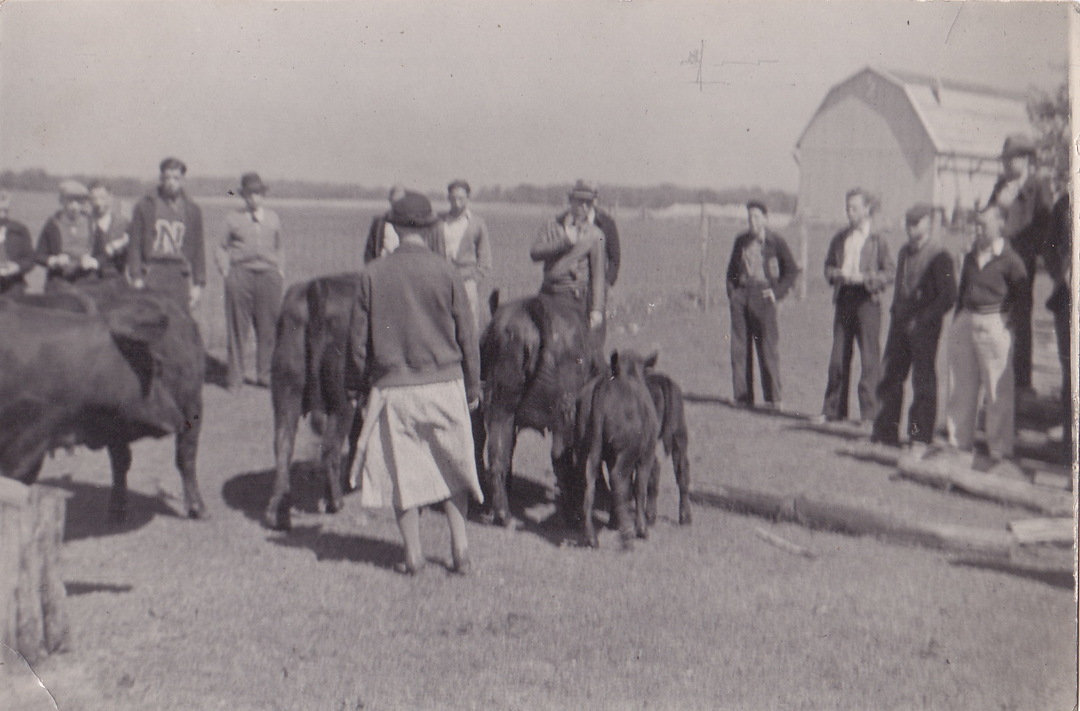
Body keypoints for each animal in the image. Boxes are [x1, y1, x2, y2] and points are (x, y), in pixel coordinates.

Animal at [1, 278, 206, 518]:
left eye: (158, 366)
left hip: (192, 404)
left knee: (185, 456)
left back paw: (197, 508)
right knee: (122, 460)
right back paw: (117, 509)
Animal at [264, 274, 362, 529]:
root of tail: (317, 287)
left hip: (286, 392)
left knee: (283, 445)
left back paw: (277, 513)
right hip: (342, 401)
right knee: (329, 449)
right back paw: (335, 502)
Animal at [479, 289, 604, 525]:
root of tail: (533, 310)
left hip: (502, 406)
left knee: (498, 452)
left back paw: (502, 514)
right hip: (563, 413)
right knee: (559, 456)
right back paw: (572, 514)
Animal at [578, 347, 660, 548]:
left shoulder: (610, 456)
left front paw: (614, 521)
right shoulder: (645, 455)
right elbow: (639, 487)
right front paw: (641, 529)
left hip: (587, 449)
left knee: (588, 480)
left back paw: (591, 536)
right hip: (626, 454)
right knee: (617, 479)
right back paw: (628, 531)